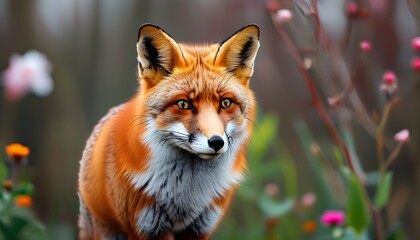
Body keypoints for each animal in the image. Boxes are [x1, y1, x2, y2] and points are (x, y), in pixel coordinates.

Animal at [77, 23, 258, 240]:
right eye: (183, 104)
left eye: (226, 103)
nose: (216, 142)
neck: (186, 197)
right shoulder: (147, 226)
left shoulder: (200, 227)